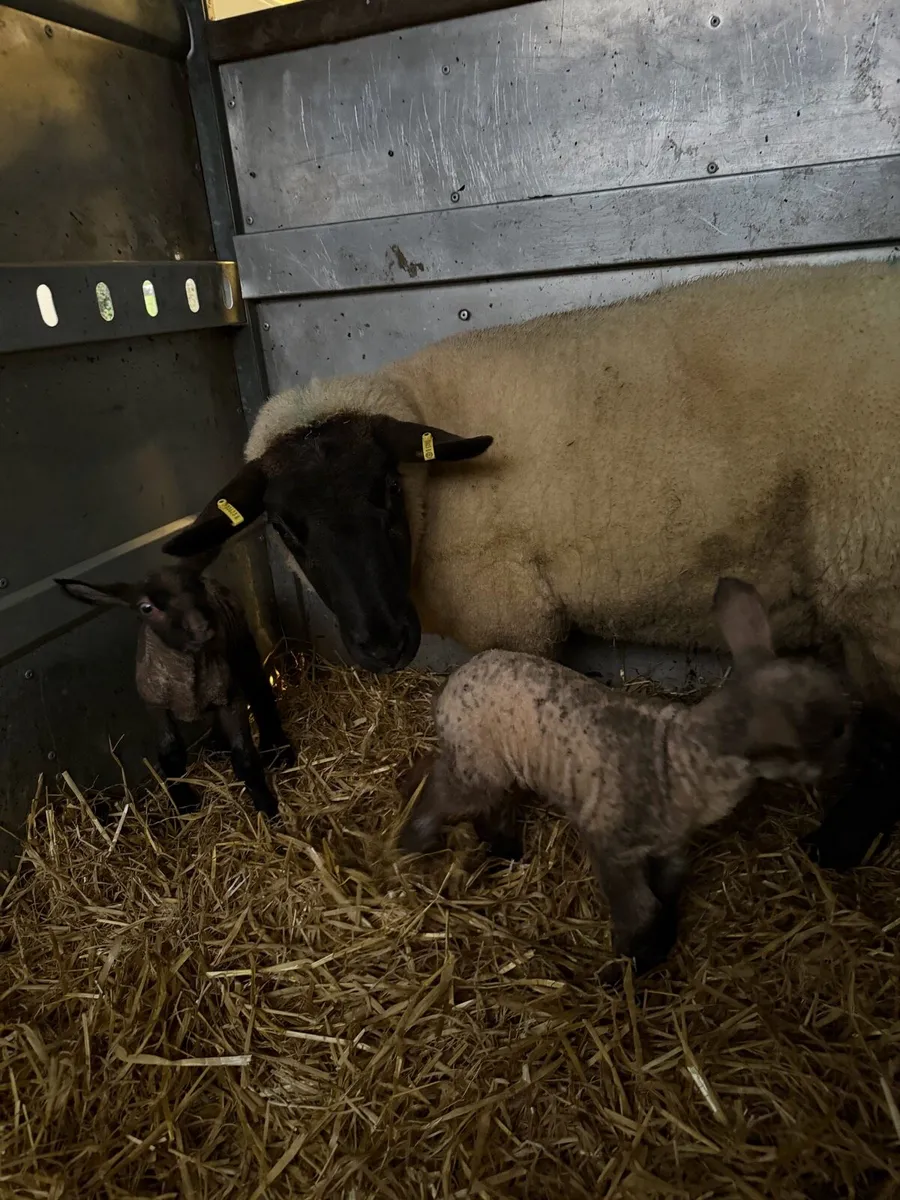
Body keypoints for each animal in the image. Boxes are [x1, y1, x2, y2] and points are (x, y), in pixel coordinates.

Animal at [56, 564, 293, 819]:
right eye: (146, 608)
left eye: (197, 587)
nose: (202, 628)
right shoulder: (156, 707)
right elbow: (170, 754)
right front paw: (184, 804)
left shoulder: (230, 699)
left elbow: (245, 758)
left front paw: (267, 810)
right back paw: (218, 743)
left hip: (242, 646)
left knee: (260, 692)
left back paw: (276, 749)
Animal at [161, 259, 900, 866]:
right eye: (287, 527)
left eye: (388, 489)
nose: (383, 642)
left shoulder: (512, 614)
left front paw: (498, 841)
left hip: (875, 577)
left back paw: (835, 846)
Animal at [397, 579, 852, 975]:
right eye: (834, 731)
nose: (840, 767)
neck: (677, 759)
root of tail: (451, 682)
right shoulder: (611, 844)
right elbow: (638, 906)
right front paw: (634, 959)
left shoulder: (671, 845)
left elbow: (668, 890)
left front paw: (659, 944)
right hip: (476, 760)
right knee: (441, 790)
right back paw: (413, 839)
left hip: (487, 761)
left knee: (477, 794)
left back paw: (503, 848)